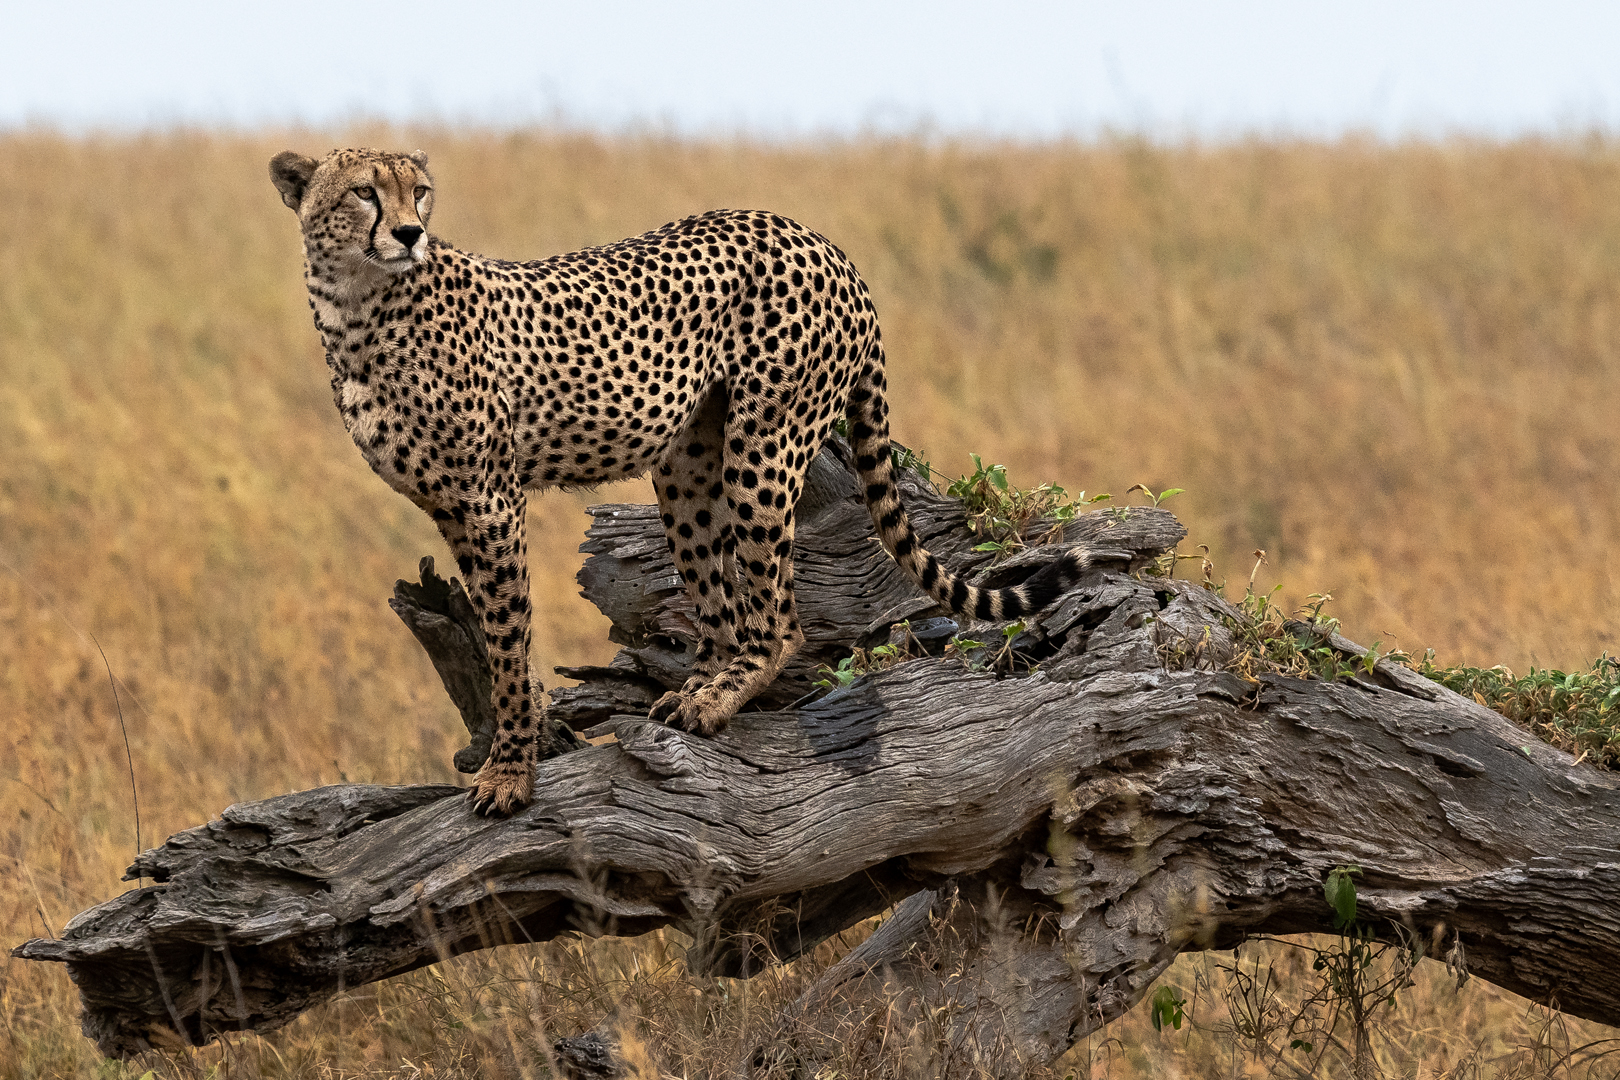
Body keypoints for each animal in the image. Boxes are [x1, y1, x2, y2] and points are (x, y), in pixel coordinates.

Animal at [270, 147, 1089, 816]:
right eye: (365, 193)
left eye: (420, 192)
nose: (410, 233)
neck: (358, 307)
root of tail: (818, 238)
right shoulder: (453, 505)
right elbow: (503, 629)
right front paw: (524, 740)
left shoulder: (491, 497)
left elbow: (506, 635)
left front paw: (510, 772)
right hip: (687, 465)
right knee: (722, 607)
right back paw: (696, 688)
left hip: (765, 442)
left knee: (779, 618)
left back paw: (717, 698)